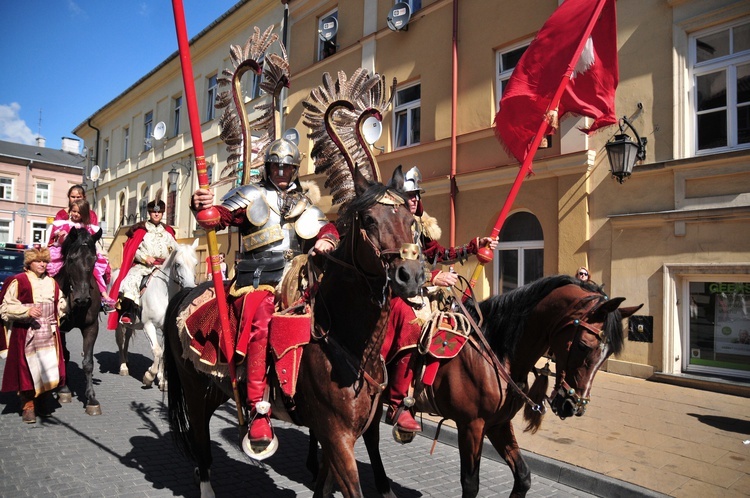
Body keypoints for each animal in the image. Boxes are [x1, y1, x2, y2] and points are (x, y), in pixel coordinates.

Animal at [54, 228, 103, 414]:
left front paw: (91, 398)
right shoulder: (59, 328)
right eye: (71, 259)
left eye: (94, 259)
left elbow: (88, 363)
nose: (82, 299)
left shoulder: (91, 327)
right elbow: (63, 356)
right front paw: (64, 390)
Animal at [111, 239, 198, 392]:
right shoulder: (149, 325)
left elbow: (163, 352)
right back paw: (123, 366)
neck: (163, 294)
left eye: (196, 264)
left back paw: (127, 360)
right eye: (178, 264)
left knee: (127, 339)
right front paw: (149, 376)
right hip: (119, 323)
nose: (190, 288)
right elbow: (156, 351)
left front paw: (163, 381)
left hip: (131, 324)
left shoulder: (164, 328)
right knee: (120, 341)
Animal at [164, 168, 426, 498]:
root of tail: (187, 293)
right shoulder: (338, 436)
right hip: (195, 391)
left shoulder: (341, 434)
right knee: (201, 446)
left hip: (215, 388)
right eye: (368, 219)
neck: (348, 341)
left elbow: (324, 487)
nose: (410, 276)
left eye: (410, 221)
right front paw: (203, 204)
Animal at [338, 274, 644, 496]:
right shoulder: (471, 426)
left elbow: (523, 477)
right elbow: (470, 483)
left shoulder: (498, 424)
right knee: (369, 437)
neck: (495, 352)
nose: (573, 405)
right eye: (583, 345)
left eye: (607, 354)